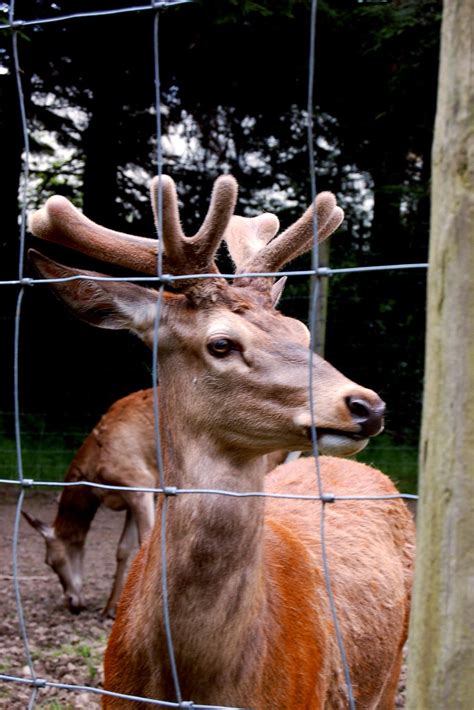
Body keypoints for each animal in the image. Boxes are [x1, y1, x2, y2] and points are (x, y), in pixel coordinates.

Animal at [23, 390, 286, 616]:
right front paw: (110, 607)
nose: (72, 603)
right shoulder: (136, 492)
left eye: (49, 561)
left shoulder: (138, 483)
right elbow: (122, 548)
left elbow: (144, 541)